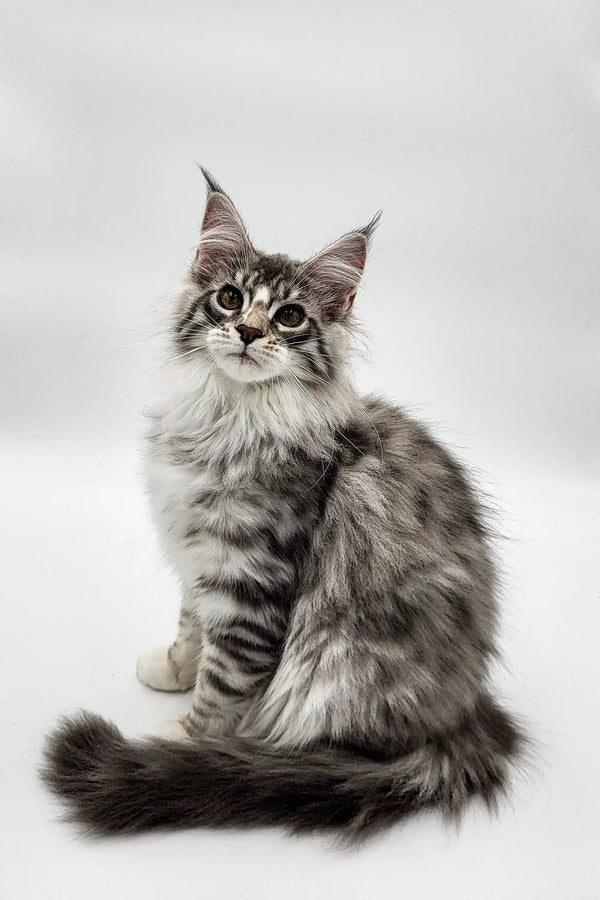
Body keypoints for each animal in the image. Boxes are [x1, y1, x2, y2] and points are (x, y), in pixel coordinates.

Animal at [42, 167, 524, 836]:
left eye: (290, 316)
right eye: (229, 299)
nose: (248, 332)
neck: (229, 419)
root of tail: (463, 719)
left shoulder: (251, 583)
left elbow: (223, 681)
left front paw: (184, 736)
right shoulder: (199, 562)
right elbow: (190, 628)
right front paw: (172, 669)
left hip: (336, 666)